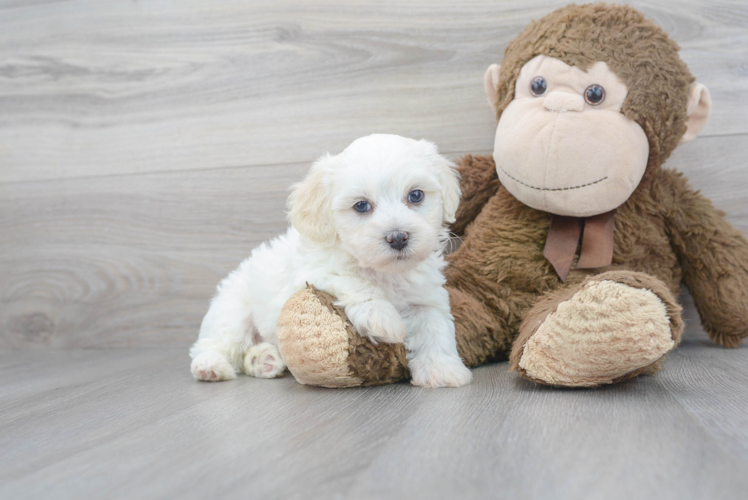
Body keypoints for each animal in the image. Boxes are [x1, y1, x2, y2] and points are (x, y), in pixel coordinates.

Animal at [193, 135, 474, 388]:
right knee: (215, 343)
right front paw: (382, 317)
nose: (397, 237)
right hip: (233, 311)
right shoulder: (311, 272)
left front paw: (441, 370)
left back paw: (264, 360)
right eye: (361, 206)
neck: (384, 271)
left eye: (415, 195)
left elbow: (435, 328)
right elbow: (353, 280)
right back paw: (211, 366)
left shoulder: (427, 298)